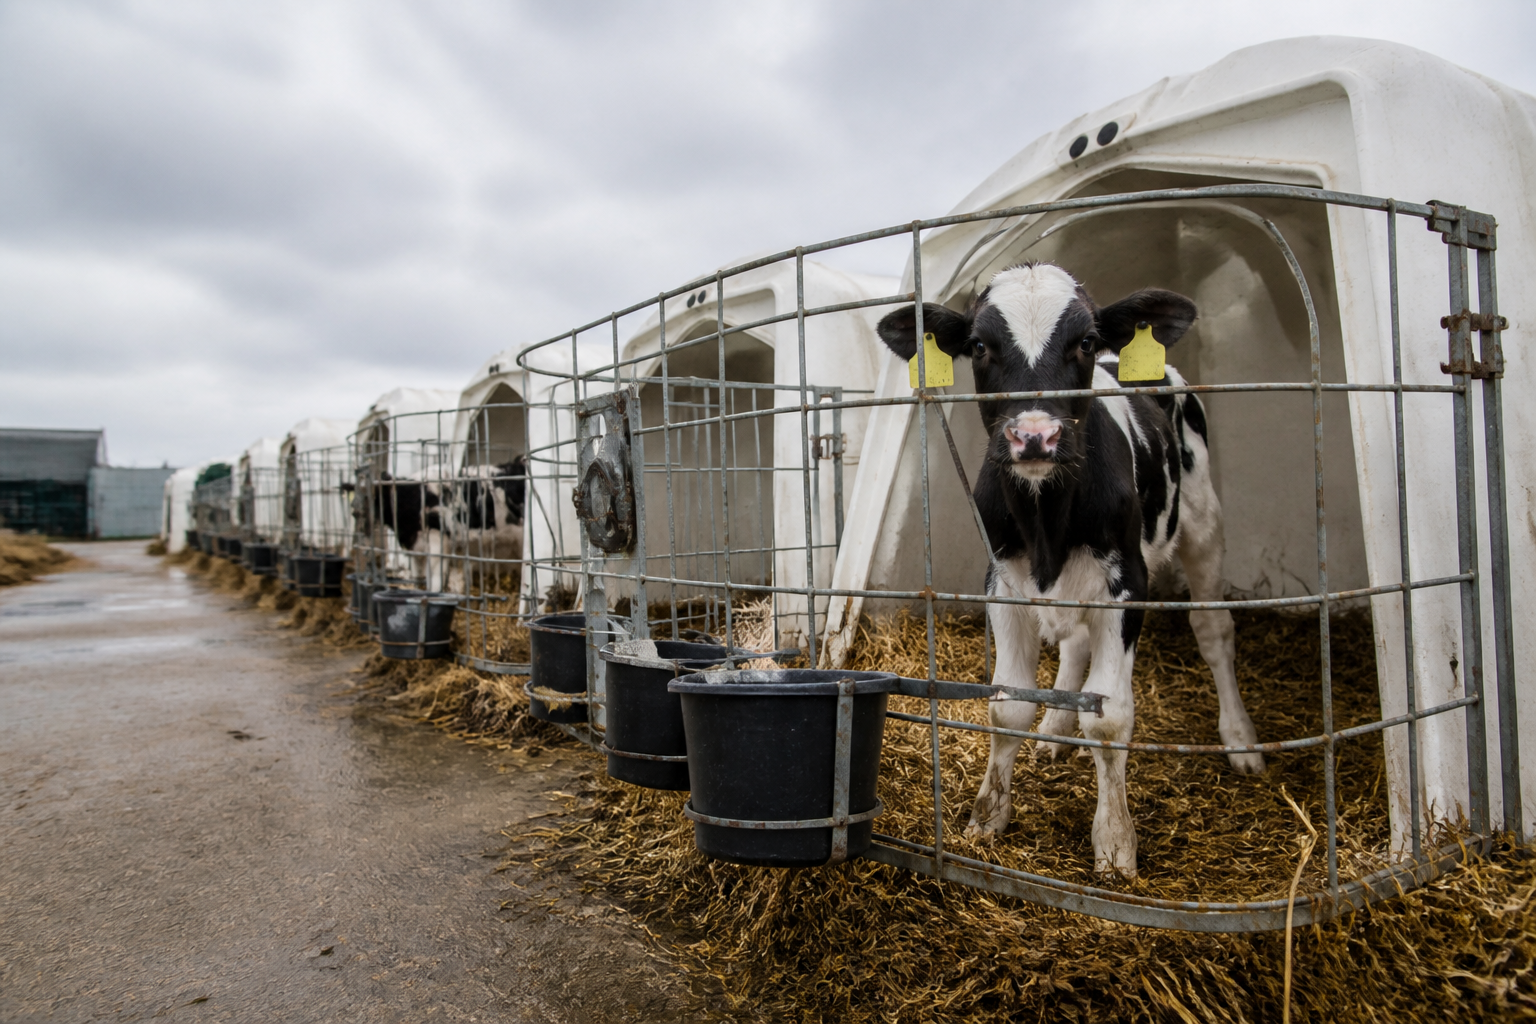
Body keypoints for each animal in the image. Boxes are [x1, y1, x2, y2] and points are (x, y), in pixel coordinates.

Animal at [876, 262, 1264, 879]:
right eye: (979, 346)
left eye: (1084, 341)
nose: (1035, 435)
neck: (1046, 526)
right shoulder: (1001, 583)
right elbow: (1007, 705)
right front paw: (987, 816)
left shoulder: (1127, 584)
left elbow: (1108, 718)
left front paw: (1115, 843)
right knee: (1076, 646)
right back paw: (1056, 732)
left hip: (1204, 524)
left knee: (1214, 632)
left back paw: (1241, 740)